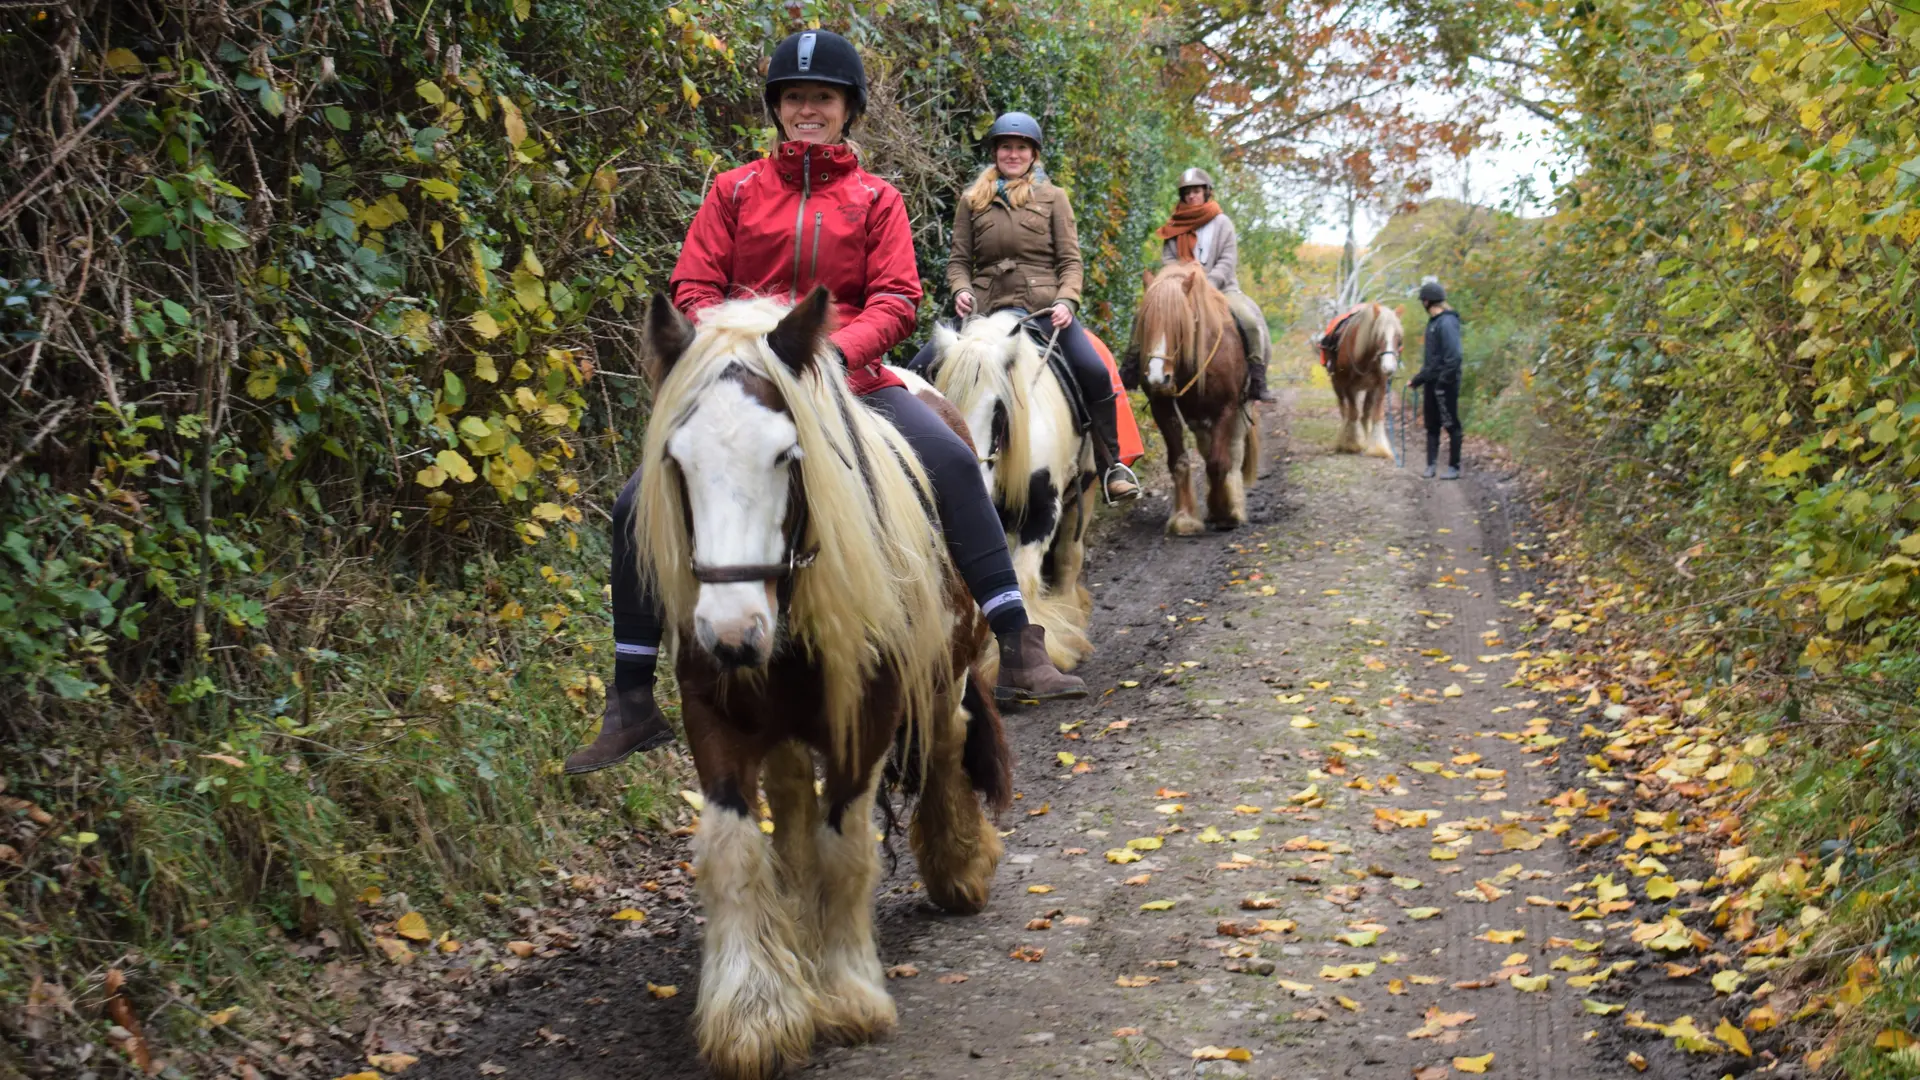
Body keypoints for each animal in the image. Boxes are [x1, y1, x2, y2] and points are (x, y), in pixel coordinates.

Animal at [633, 288, 1012, 1080]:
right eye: (677, 460)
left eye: (786, 456)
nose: (731, 633)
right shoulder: (715, 715)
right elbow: (739, 848)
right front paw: (755, 1012)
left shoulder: (865, 718)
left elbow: (846, 848)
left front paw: (846, 996)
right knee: (791, 810)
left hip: (948, 664)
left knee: (947, 742)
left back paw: (960, 863)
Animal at [906, 311, 1094, 671]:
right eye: (946, 402)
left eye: (999, 408)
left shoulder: (1044, 511)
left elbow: (1022, 578)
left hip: (1085, 486)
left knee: (1069, 556)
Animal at [1135, 261, 1259, 535]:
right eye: (1146, 322)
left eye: (1179, 325)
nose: (1158, 378)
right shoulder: (1163, 410)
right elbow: (1180, 462)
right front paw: (1184, 518)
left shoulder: (1226, 409)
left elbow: (1217, 462)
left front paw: (1225, 513)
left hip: (1239, 409)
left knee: (1233, 453)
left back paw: (1234, 505)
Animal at [1326, 303, 1403, 458]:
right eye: (1379, 335)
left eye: (1398, 338)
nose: (1389, 367)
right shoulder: (1348, 387)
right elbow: (1353, 413)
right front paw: (1352, 444)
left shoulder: (1380, 386)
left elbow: (1377, 415)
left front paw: (1378, 448)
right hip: (1338, 386)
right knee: (1345, 411)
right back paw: (1344, 439)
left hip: (1368, 389)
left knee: (1365, 414)